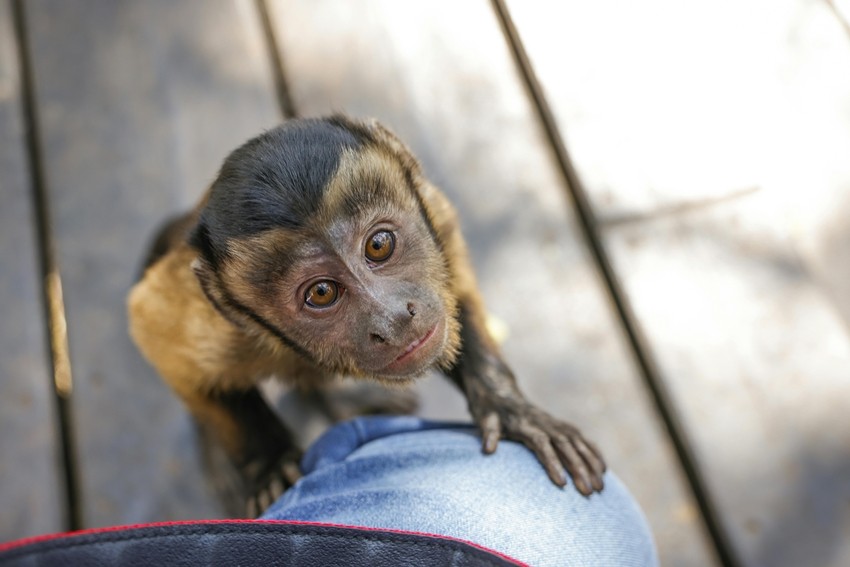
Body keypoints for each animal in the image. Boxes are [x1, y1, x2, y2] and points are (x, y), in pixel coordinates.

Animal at [128, 115, 606, 515]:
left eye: (378, 245)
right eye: (321, 293)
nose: (392, 318)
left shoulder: (433, 208)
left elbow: (456, 276)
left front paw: (507, 405)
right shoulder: (211, 322)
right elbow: (155, 333)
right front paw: (268, 464)